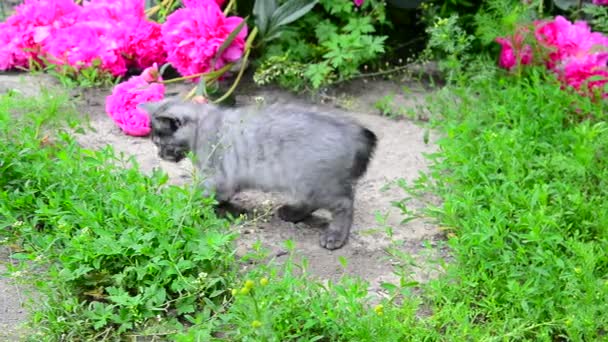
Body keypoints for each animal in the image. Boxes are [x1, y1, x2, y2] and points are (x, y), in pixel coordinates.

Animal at [138, 97, 378, 250]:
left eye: (161, 143)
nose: (160, 154)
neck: (201, 127)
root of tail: (354, 130)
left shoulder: (214, 175)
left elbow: (198, 197)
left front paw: (183, 208)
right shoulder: (227, 179)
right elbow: (220, 197)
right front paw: (228, 209)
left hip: (316, 183)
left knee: (345, 204)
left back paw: (335, 235)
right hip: (306, 183)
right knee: (314, 202)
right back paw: (292, 213)